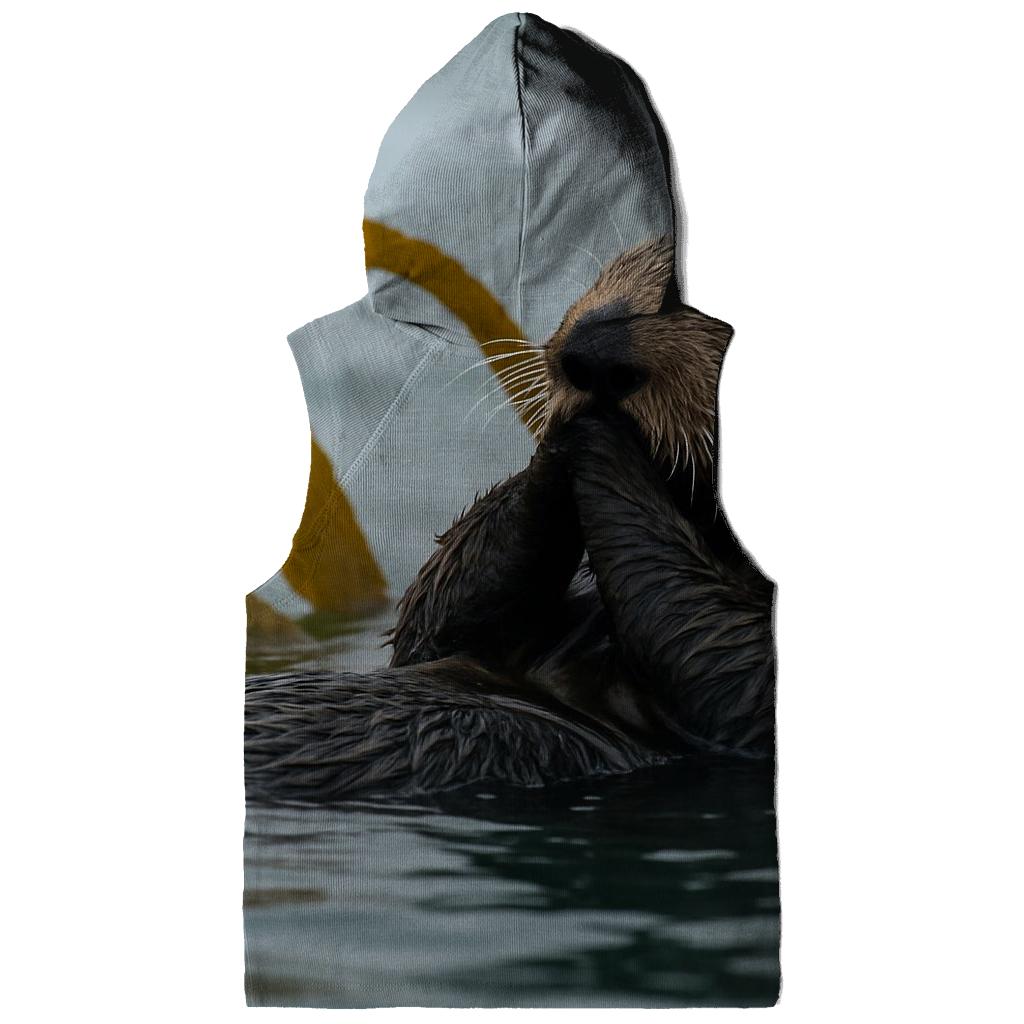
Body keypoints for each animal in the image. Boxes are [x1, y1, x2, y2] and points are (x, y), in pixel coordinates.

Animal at [245, 238, 776, 803]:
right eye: (611, 284)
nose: (593, 354)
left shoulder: (741, 686)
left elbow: (724, 660)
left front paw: (599, 436)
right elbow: (432, 616)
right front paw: (559, 438)